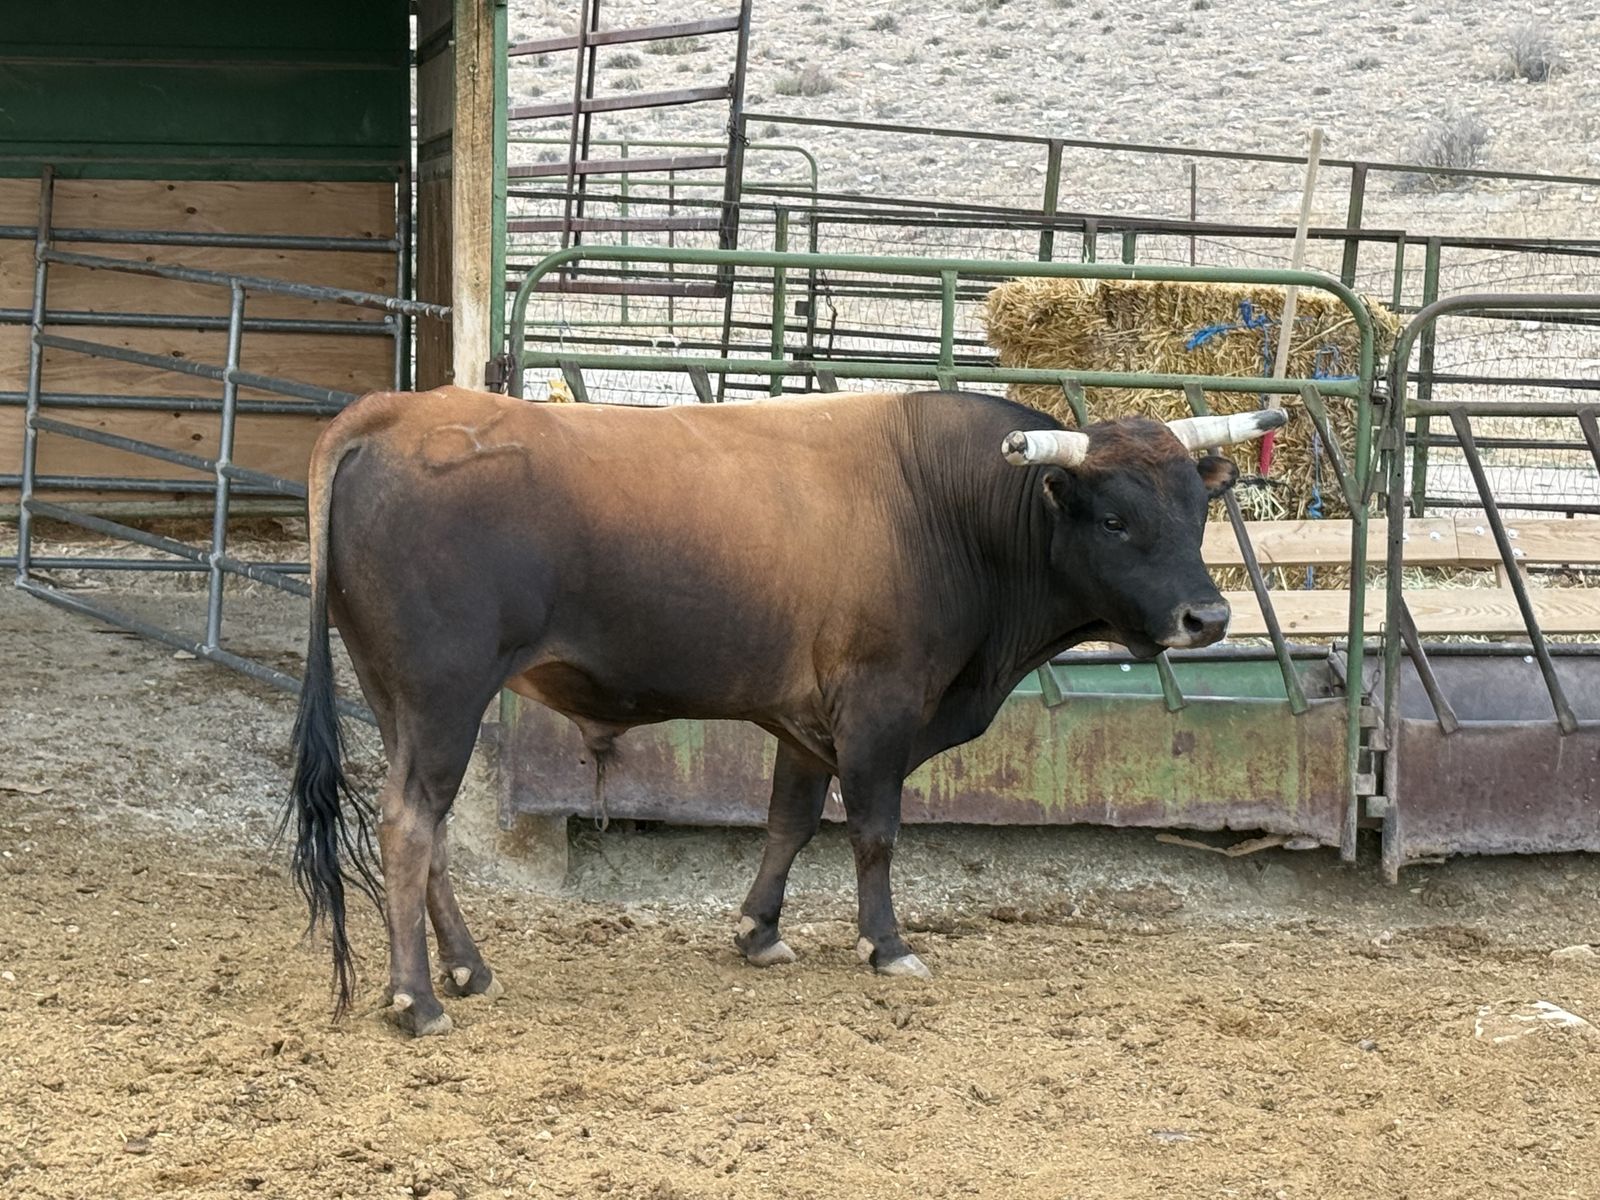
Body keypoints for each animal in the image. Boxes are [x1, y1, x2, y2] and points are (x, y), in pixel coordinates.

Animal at [286, 384, 1283, 1036]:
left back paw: (468, 969)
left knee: (427, 829)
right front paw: (887, 944)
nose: (1208, 617)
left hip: (400, 698)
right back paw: (416, 999)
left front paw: (759, 932)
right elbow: (875, 831)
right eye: (1113, 520)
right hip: (444, 693)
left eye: (1198, 511)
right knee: (411, 825)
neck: (944, 505)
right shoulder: (880, 705)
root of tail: (394, 412)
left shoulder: (806, 719)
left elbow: (788, 823)